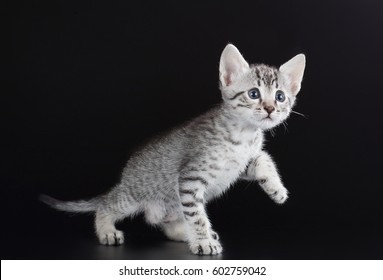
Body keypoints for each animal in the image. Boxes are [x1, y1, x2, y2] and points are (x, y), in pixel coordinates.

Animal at [41, 43, 306, 254]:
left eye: (280, 96)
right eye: (253, 93)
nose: (271, 108)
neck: (245, 134)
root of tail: (126, 178)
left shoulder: (240, 163)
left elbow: (263, 160)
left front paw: (276, 189)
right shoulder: (190, 178)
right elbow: (197, 217)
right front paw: (203, 242)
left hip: (172, 204)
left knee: (171, 223)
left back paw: (186, 233)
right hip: (135, 194)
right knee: (107, 205)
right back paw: (107, 230)